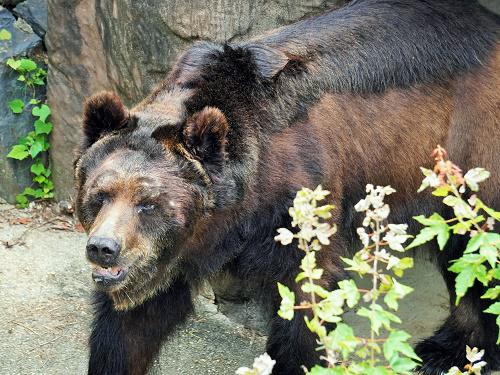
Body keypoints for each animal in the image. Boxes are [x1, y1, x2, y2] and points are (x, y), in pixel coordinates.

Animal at [75, 0, 500, 374]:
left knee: (477, 245)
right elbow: (131, 326)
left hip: (469, 148)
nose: (103, 248)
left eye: (148, 202)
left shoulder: (298, 195)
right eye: (99, 195)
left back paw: (447, 351)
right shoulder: (170, 253)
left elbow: (305, 294)